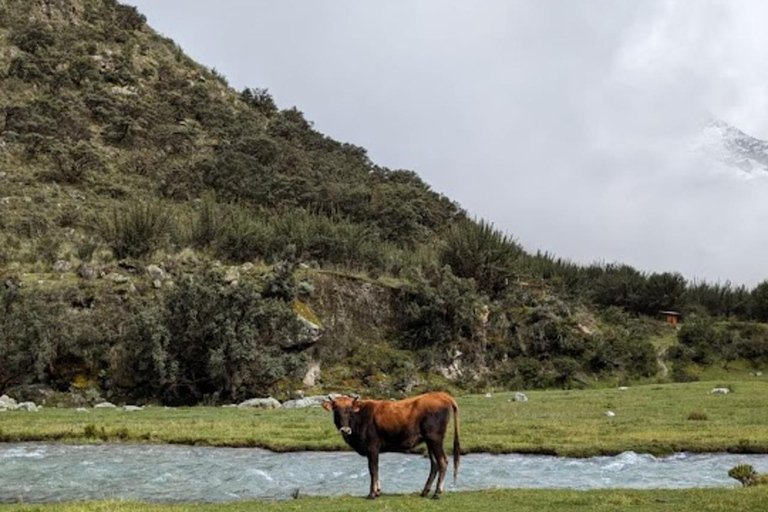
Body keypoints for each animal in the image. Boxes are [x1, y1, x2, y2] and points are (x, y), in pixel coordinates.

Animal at [320, 394, 460, 498]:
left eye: (350, 411)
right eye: (336, 410)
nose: (345, 430)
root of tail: (442, 395)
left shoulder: (373, 447)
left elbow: (373, 469)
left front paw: (372, 493)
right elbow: (375, 469)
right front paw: (378, 491)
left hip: (435, 439)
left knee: (442, 461)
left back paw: (437, 493)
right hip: (429, 441)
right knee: (434, 464)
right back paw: (425, 491)